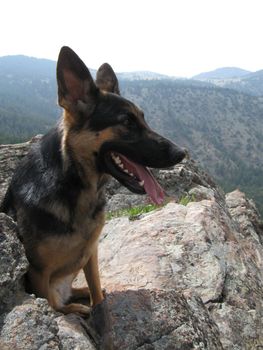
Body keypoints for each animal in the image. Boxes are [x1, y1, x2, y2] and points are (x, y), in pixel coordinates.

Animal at [1, 47, 186, 314]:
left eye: (143, 118)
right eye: (127, 122)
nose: (182, 152)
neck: (75, 187)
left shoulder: (91, 252)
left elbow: (97, 292)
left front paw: (99, 304)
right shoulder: (38, 274)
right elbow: (52, 306)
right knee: (61, 304)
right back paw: (78, 308)